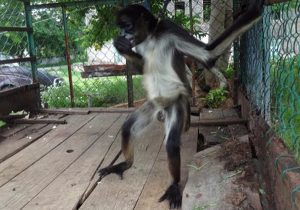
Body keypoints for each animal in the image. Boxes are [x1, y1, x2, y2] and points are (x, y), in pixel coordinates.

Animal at [98, 1, 262, 208]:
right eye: (120, 27)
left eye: (127, 26)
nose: (122, 35)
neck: (151, 37)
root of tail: (164, 107)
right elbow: (143, 66)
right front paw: (122, 48)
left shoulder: (168, 28)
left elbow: (208, 55)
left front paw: (257, 7)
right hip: (153, 105)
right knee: (127, 128)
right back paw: (125, 164)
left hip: (176, 104)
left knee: (171, 144)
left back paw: (174, 186)